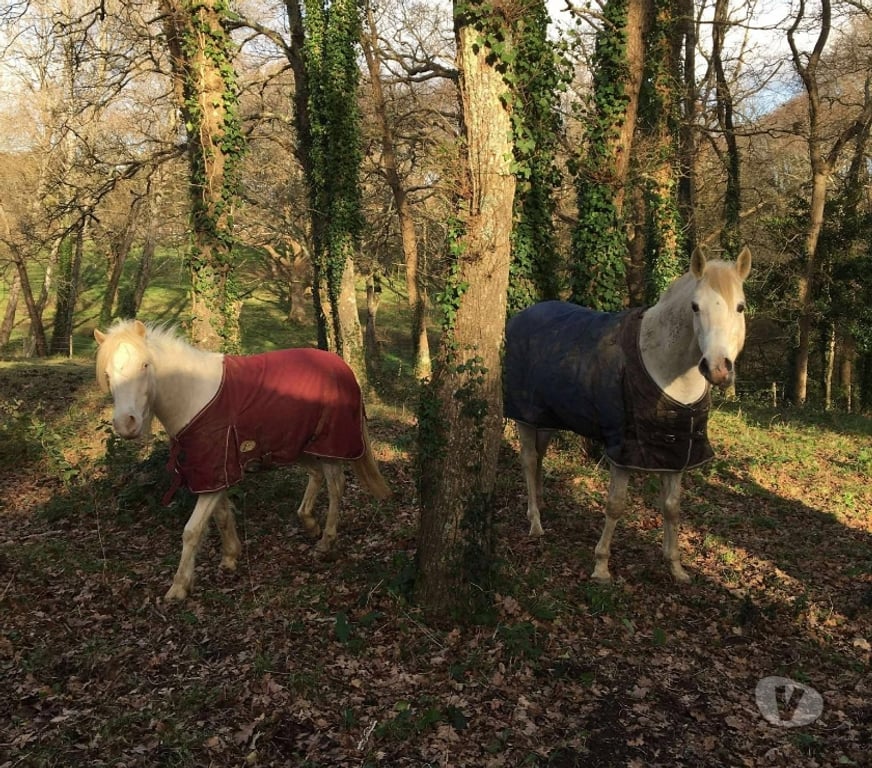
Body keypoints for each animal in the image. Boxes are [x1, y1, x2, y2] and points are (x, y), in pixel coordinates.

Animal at [93, 320, 391, 601]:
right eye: (107, 374)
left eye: (144, 365)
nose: (126, 424)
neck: (193, 396)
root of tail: (343, 366)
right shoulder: (214, 474)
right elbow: (222, 516)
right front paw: (230, 557)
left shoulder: (215, 472)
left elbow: (192, 530)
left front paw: (179, 586)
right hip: (295, 447)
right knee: (316, 476)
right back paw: (309, 523)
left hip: (329, 447)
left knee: (336, 485)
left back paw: (326, 541)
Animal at [503, 247, 752, 583]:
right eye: (695, 306)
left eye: (740, 307)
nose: (718, 369)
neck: (665, 369)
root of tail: (521, 317)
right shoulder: (623, 451)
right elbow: (616, 505)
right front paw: (601, 567)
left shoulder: (675, 453)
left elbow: (672, 507)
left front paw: (675, 567)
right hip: (525, 417)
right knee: (529, 461)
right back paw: (535, 523)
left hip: (547, 419)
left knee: (539, 458)